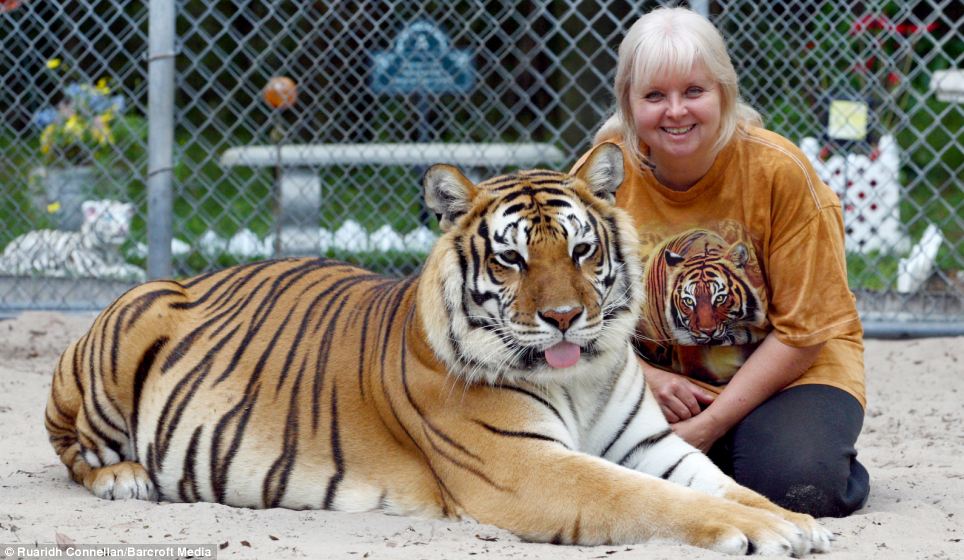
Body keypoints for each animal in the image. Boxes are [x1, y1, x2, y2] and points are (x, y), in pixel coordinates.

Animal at [43, 144, 828, 556]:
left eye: (580, 251)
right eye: (512, 260)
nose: (566, 318)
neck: (581, 378)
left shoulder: (647, 444)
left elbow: (717, 483)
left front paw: (788, 518)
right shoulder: (527, 467)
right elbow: (647, 498)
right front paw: (760, 529)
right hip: (127, 331)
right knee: (74, 450)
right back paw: (125, 478)